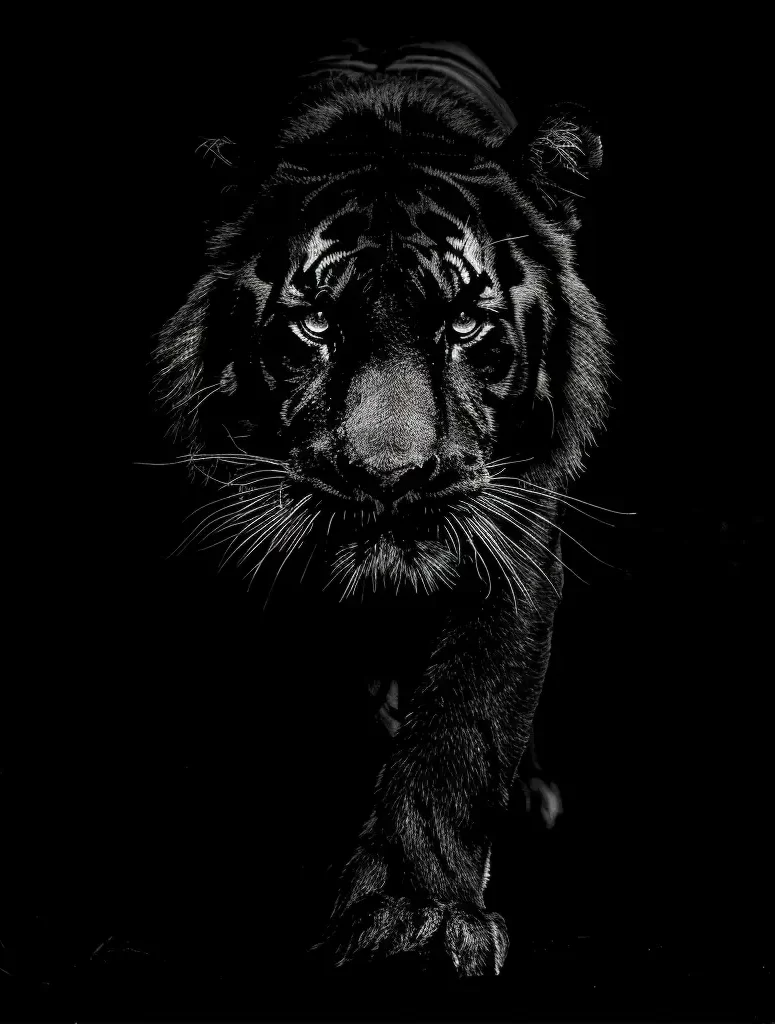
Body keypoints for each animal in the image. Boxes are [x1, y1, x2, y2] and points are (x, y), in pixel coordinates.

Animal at [151, 39, 613, 978]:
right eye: (316, 324)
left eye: (465, 324)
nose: (390, 475)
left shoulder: (515, 546)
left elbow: (466, 726)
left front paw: (418, 915)